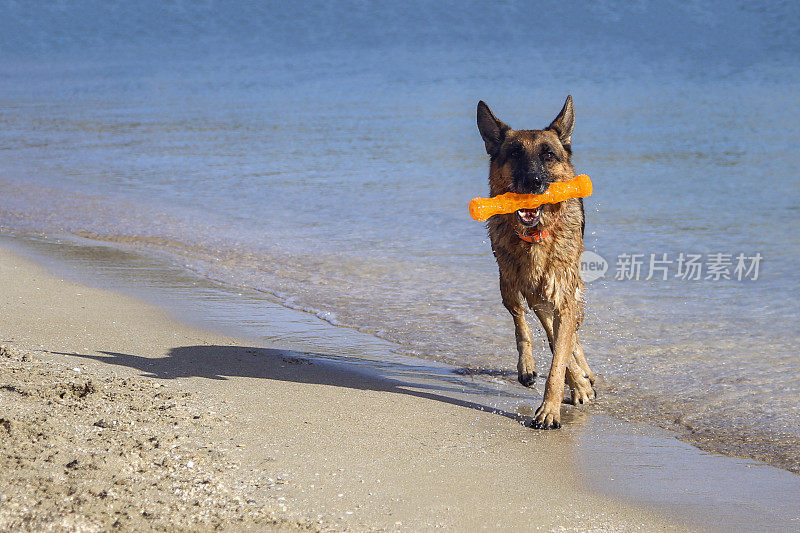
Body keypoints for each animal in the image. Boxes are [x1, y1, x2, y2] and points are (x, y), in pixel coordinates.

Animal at [476, 96, 592, 428]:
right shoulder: (534, 295)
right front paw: (572, 386)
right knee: (521, 322)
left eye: (548, 155)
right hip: (509, 284)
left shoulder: (562, 297)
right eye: (515, 153)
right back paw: (531, 368)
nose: (533, 181)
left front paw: (551, 407)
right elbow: (551, 343)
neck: (536, 238)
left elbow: (560, 355)